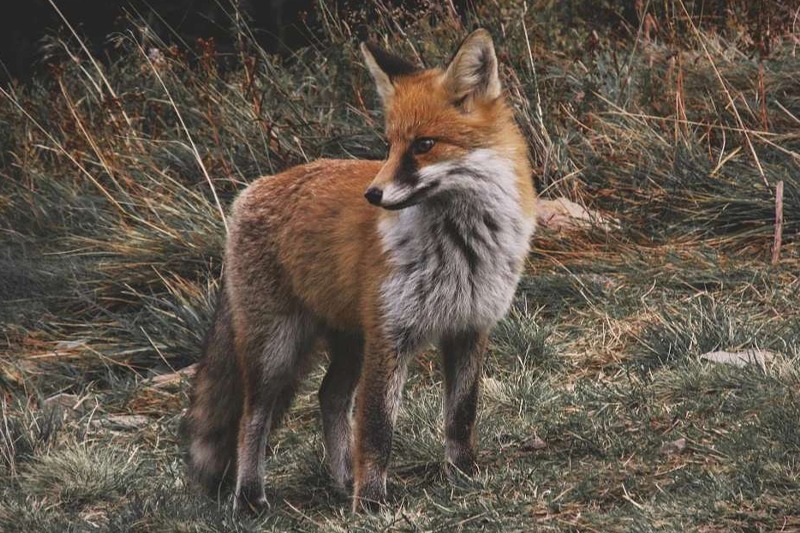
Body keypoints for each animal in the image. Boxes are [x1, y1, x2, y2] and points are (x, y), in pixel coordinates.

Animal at [183, 28, 537, 512]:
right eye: (388, 145)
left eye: (423, 145)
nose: (373, 194)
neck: (461, 247)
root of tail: (250, 191)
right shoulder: (389, 336)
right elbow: (376, 428)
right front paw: (370, 502)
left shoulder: (469, 327)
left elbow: (461, 416)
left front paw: (463, 474)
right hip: (276, 349)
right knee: (251, 418)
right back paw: (251, 496)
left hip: (349, 341)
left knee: (329, 397)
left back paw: (340, 479)